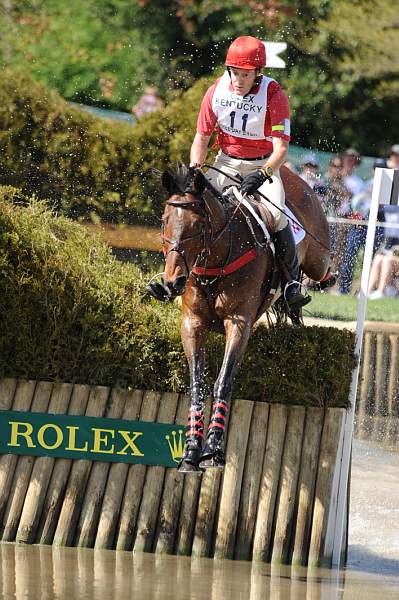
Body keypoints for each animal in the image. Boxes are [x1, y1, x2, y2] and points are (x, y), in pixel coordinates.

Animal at [148, 165, 332, 474]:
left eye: (198, 226)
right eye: (164, 222)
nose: (174, 282)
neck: (216, 260)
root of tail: (293, 174)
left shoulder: (238, 323)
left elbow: (223, 382)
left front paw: (213, 453)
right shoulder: (192, 324)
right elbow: (197, 384)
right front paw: (191, 452)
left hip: (318, 258)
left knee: (323, 269)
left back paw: (305, 287)